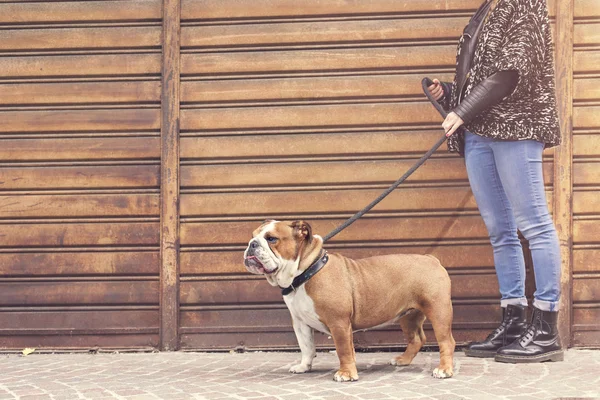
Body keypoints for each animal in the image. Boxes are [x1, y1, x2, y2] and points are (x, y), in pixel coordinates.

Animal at [244, 222, 454, 382]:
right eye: (253, 236)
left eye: (271, 239)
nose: (251, 244)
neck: (305, 272)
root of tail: (430, 259)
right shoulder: (300, 323)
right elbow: (306, 347)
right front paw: (304, 366)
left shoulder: (338, 323)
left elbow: (343, 350)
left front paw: (346, 373)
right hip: (408, 316)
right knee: (416, 338)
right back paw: (403, 360)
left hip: (438, 311)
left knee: (446, 341)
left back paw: (444, 370)